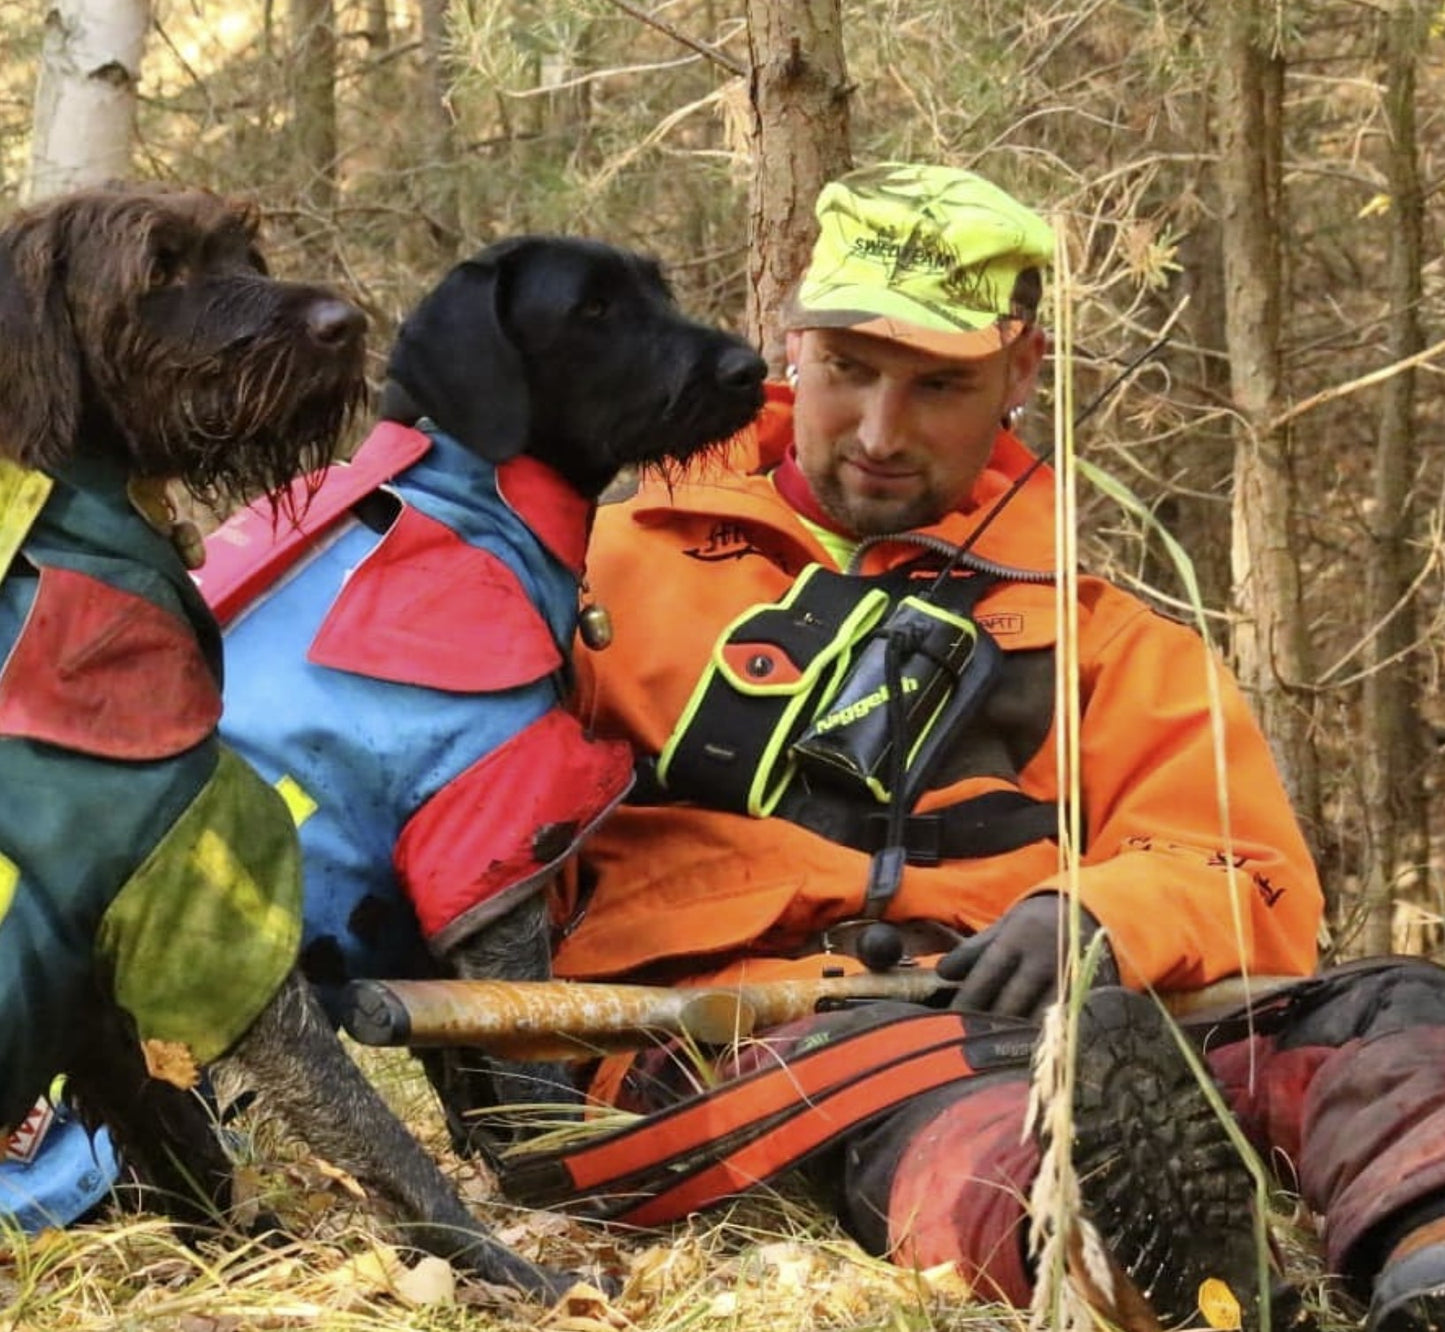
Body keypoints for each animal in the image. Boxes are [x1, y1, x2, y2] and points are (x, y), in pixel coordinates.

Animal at [2, 186, 580, 1300]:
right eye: (160, 266)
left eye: (245, 249)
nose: (343, 325)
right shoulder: (206, 918)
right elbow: (374, 1132)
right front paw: (515, 1269)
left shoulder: (105, 989)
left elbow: (179, 1146)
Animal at [197, 244, 774, 1155]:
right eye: (591, 309)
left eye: (655, 287)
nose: (747, 369)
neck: (476, 498)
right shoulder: (484, 854)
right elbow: (525, 1066)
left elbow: (466, 1083)